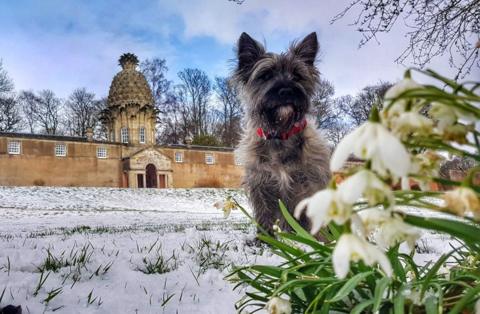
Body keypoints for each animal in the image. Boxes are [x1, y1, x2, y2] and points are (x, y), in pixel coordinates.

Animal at [232, 31, 330, 234]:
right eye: (266, 75)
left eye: (297, 75)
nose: (286, 90)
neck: (280, 133)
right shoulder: (261, 184)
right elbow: (264, 216)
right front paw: (264, 238)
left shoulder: (308, 186)